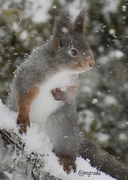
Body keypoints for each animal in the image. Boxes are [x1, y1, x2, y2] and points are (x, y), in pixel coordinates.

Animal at [7, 9, 94, 174]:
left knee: (67, 147)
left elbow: (73, 91)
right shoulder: (31, 73)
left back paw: (67, 160)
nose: (91, 64)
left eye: (88, 46)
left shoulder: (73, 81)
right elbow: (24, 91)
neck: (60, 70)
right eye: (73, 51)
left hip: (62, 124)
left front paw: (59, 94)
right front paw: (23, 118)